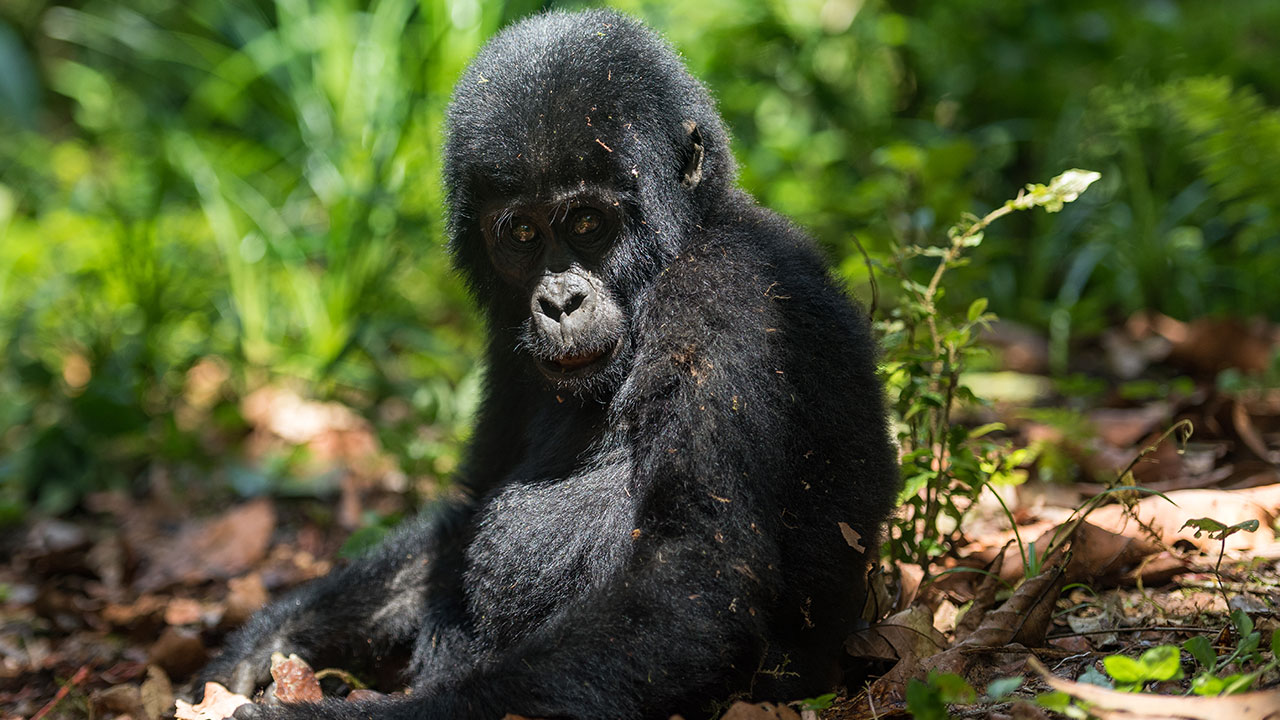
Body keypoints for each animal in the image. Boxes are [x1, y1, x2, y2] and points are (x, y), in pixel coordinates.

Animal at [199, 7, 901, 717]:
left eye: (588, 223)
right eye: (522, 233)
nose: (559, 301)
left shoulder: (726, 294)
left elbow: (693, 578)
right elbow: (464, 514)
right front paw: (265, 645)